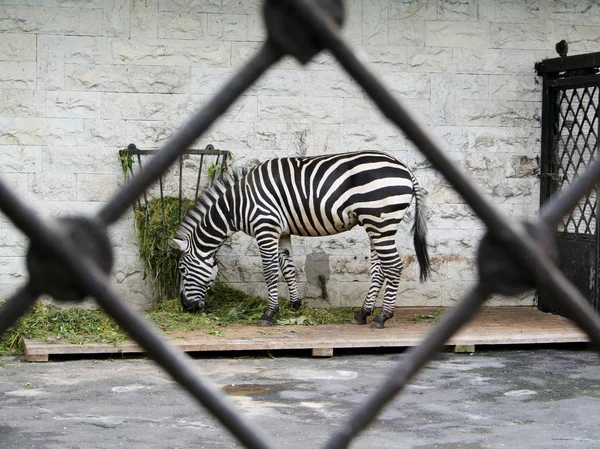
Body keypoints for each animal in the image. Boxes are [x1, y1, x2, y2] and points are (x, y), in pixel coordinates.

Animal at [171, 149, 428, 328]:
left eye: (182, 269)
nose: (186, 307)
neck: (237, 205)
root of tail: (406, 169)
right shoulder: (282, 232)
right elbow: (288, 268)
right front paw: (294, 305)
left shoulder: (266, 227)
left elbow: (270, 271)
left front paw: (269, 313)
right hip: (376, 224)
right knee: (379, 268)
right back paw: (363, 313)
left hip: (380, 220)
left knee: (394, 266)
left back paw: (382, 317)